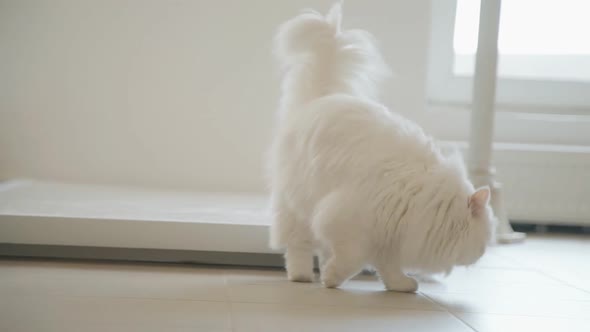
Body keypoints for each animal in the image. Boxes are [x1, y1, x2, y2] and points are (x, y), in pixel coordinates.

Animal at [270, 3, 494, 292]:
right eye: (484, 239)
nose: (481, 255)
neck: (429, 203)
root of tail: (319, 99)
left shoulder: (388, 241)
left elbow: (389, 270)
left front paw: (402, 286)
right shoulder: (349, 222)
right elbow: (352, 260)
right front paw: (331, 279)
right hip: (296, 207)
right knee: (298, 246)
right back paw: (302, 276)